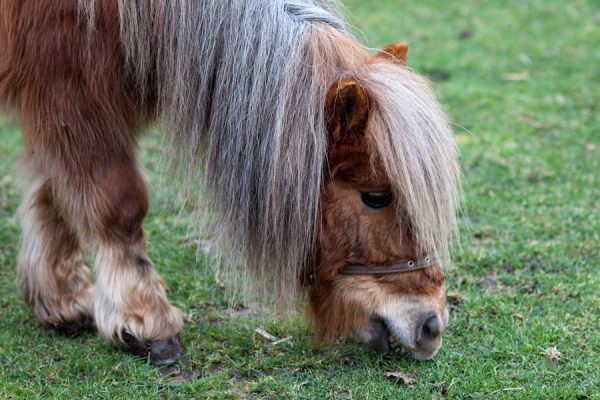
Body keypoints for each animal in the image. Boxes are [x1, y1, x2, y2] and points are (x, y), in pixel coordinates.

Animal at [0, 0, 462, 362]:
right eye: (376, 196)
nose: (432, 325)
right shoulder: (70, 96)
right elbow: (118, 202)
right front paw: (145, 319)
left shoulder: (57, 108)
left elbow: (53, 195)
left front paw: (60, 301)